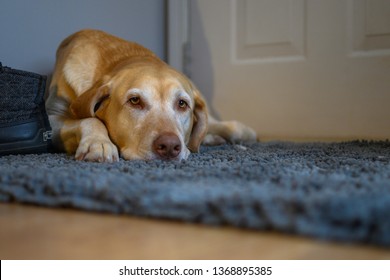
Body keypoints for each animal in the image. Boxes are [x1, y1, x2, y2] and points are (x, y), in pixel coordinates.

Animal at [45, 29, 256, 162]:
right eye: (135, 101)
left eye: (182, 104)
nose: (170, 146)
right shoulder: (50, 119)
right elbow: (90, 119)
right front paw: (99, 143)